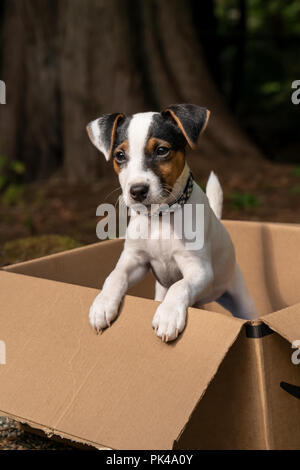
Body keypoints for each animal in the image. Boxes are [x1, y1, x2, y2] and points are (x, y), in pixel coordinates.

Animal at [86, 103, 258, 342]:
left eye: (161, 150)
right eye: (120, 155)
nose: (137, 191)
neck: (161, 218)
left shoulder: (199, 270)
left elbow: (180, 285)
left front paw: (168, 316)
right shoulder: (135, 261)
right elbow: (114, 276)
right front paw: (102, 304)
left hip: (241, 299)